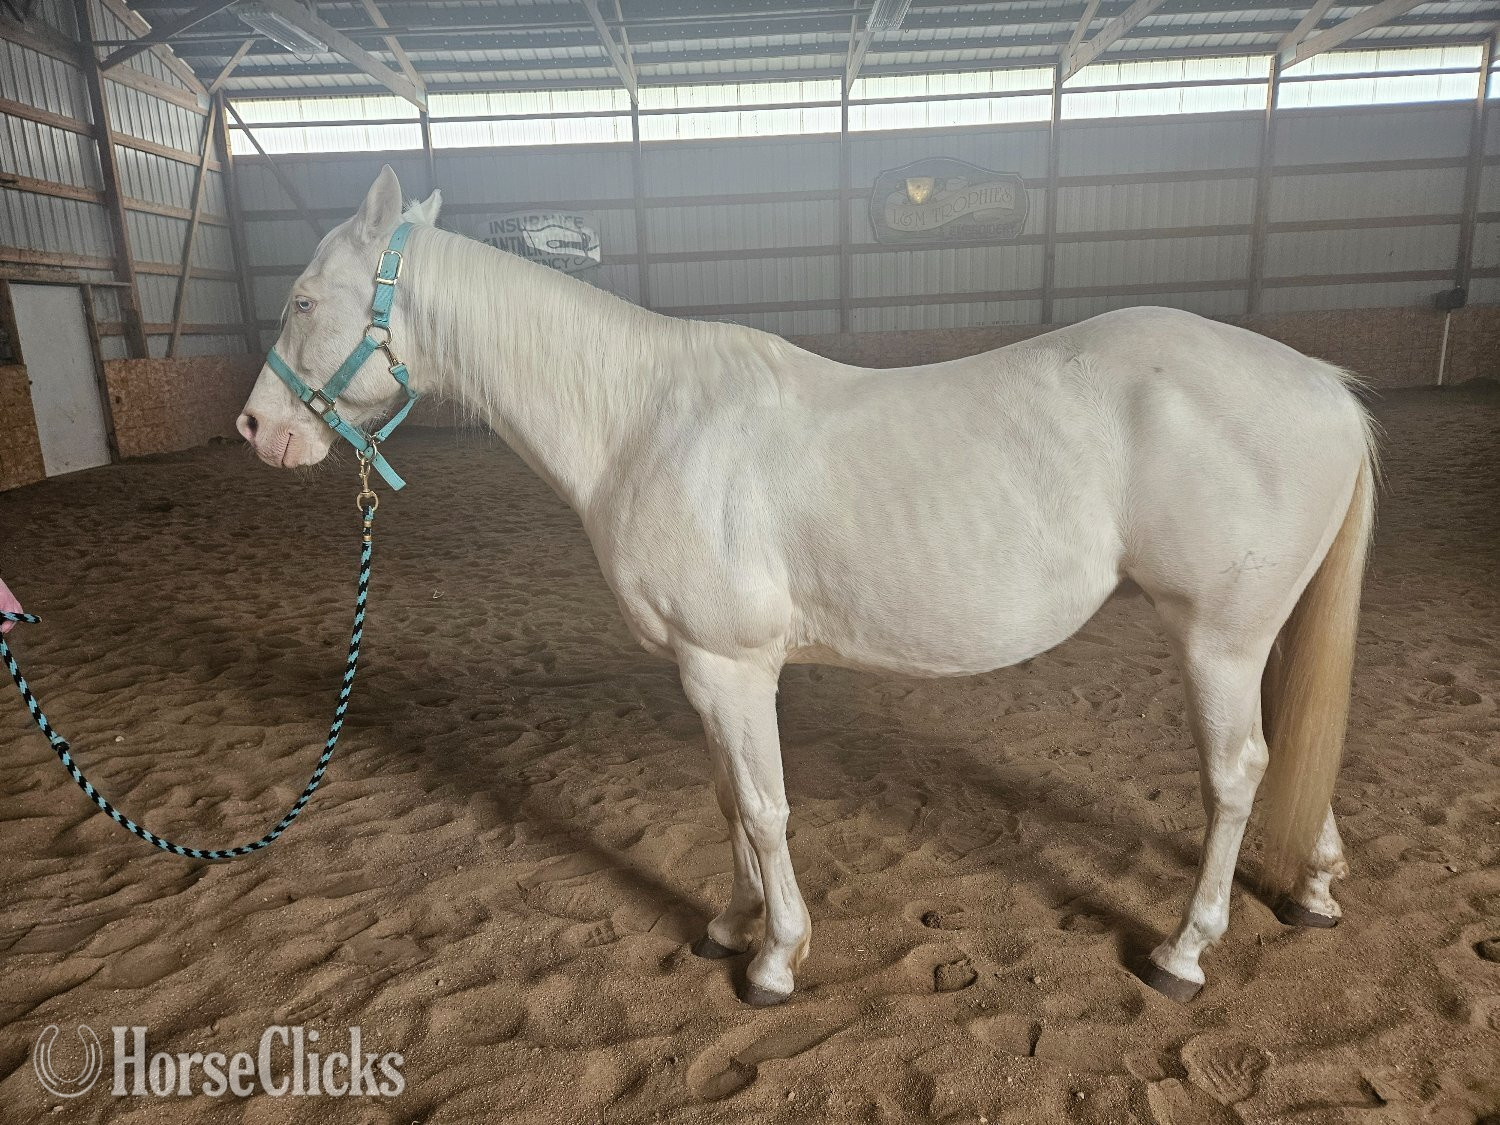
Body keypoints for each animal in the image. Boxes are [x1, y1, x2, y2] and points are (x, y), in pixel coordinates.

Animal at [238, 167, 1376, 1007]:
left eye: (302, 301)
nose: (258, 430)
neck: (646, 422)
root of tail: (1324, 384)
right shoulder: (703, 671)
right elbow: (729, 801)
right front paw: (727, 925)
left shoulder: (732, 665)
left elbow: (764, 806)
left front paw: (775, 959)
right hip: (1263, 632)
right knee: (1293, 747)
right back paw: (1313, 888)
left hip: (1217, 638)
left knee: (1237, 773)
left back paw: (1186, 951)